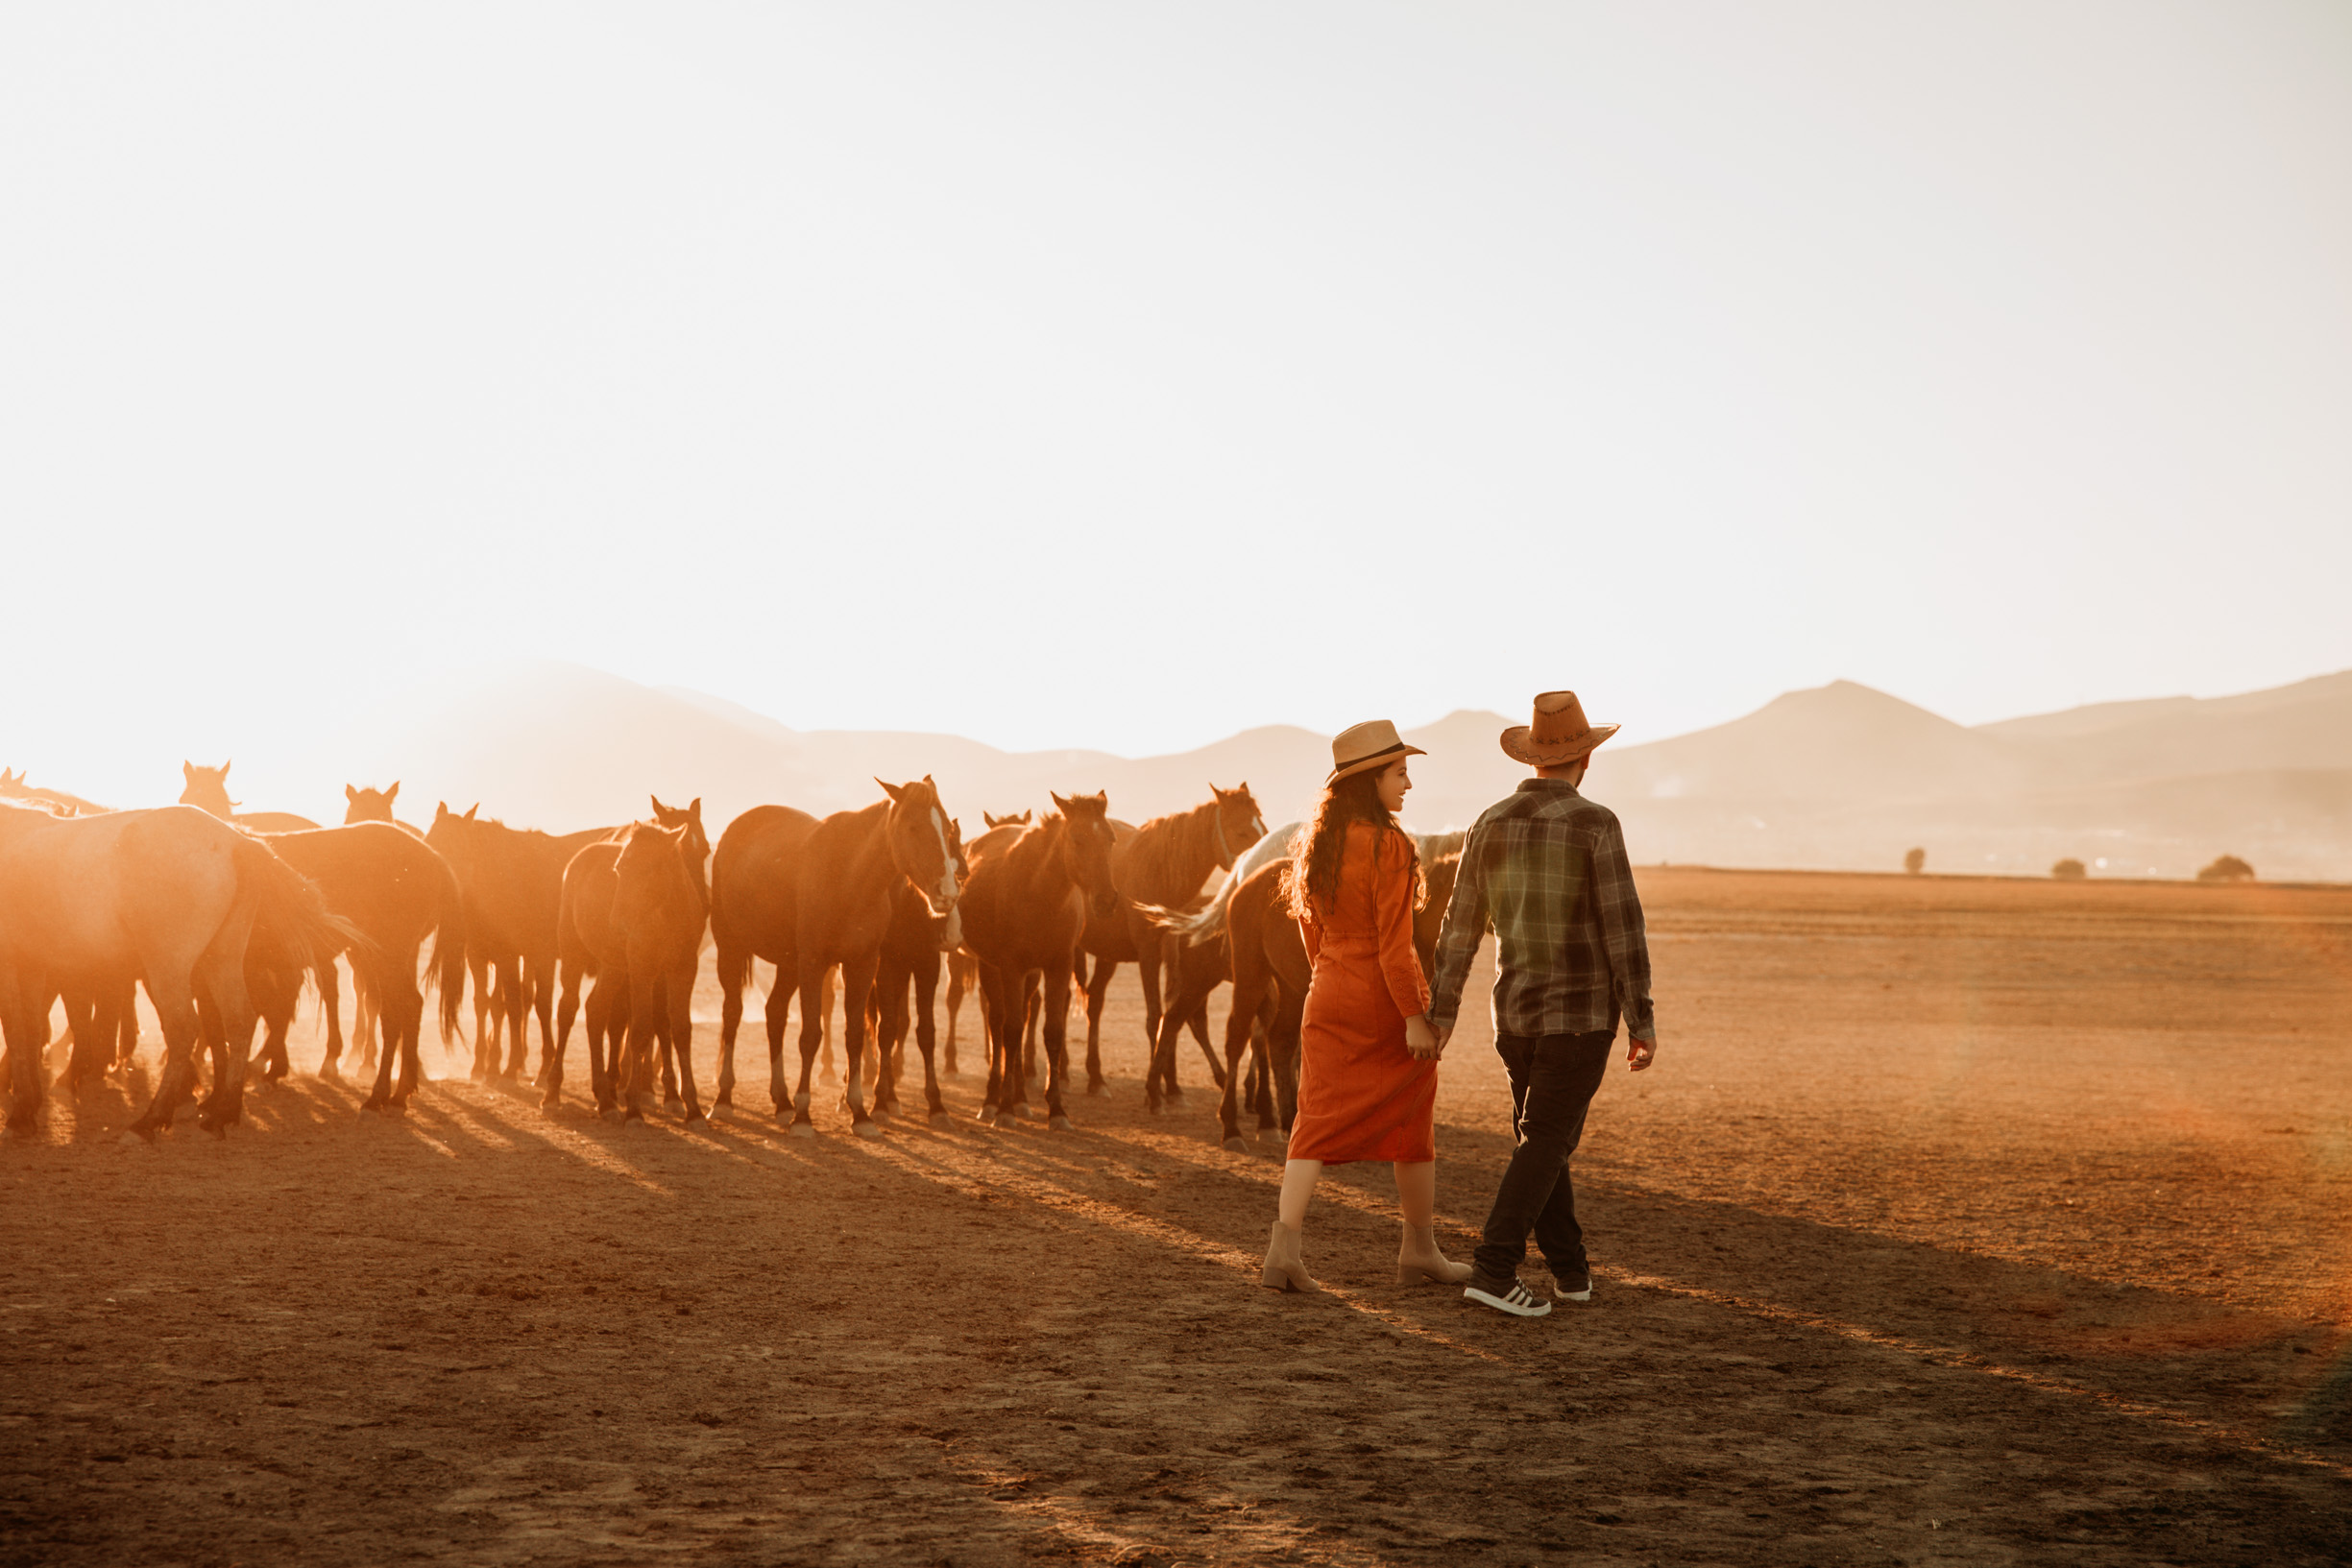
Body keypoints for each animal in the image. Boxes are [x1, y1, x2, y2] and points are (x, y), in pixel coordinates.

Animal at [0, 804, 357, 1133]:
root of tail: (235, 843)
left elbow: (17, 1030)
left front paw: (21, 1110)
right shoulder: (31, 965)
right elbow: (31, 1028)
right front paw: (28, 1102)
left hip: (168, 969)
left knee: (184, 1028)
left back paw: (152, 1119)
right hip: (221, 960)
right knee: (239, 1019)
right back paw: (223, 1111)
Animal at [245, 827, 470, 1109]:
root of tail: (435, 859)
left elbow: (272, 1009)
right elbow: (274, 1008)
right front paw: (272, 1067)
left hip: (387, 958)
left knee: (394, 1012)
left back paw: (379, 1094)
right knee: (410, 1006)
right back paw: (400, 1092)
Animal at [427, 804, 620, 1086]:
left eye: (458, 846)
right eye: (430, 841)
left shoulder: (535, 956)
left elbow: (531, 1006)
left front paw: (523, 1067)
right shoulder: (480, 955)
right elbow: (486, 1003)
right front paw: (483, 1065)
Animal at [955, 799, 1119, 1128]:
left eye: (1110, 839)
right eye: (1077, 839)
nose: (1106, 900)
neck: (1042, 894)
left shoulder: (1058, 966)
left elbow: (1051, 1032)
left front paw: (1056, 1109)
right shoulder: (1011, 967)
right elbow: (1011, 1030)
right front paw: (1003, 1108)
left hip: (1029, 975)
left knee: (1022, 1018)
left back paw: (1020, 1099)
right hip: (990, 967)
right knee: (997, 1024)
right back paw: (993, 1099)